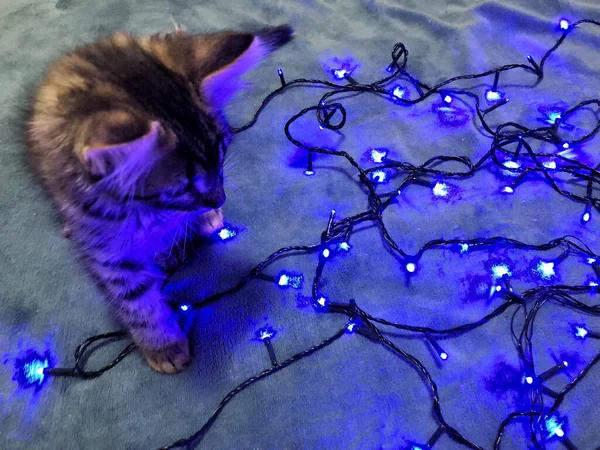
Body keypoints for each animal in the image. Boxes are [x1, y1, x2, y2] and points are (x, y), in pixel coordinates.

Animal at [25, 25, 292, 376]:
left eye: (222, 157)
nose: (219, 198)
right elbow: (136, 300)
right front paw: (163, 344)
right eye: (182, 188)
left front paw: (201, 219)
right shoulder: (105, 245)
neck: (140, 208)